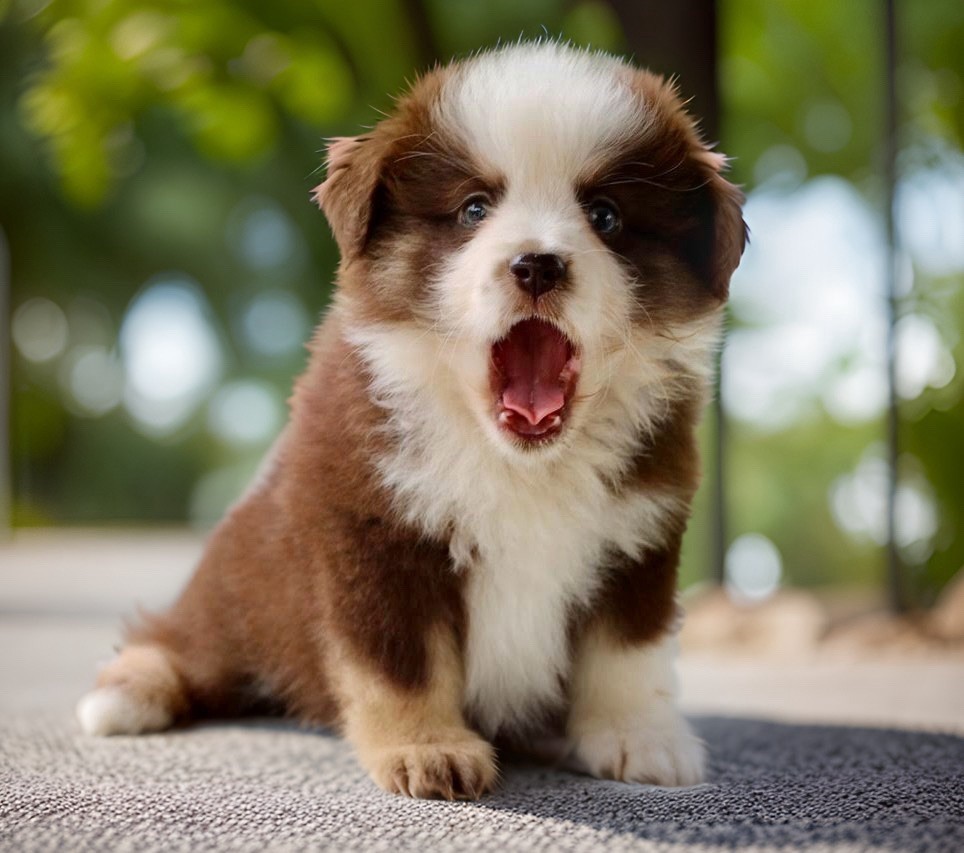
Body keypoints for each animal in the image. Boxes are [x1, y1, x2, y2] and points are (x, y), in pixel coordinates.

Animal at [79, 40, 748, 800]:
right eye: (474, 208)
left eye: (605, 216)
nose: (537, 264)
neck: (521, 464)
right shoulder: (372, 527)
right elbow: (401, 660)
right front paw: (426, 749)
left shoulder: (638, 533)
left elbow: (627, 653)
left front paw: (637, 738)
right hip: (236, 588)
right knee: (181, 640)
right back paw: (126, 693)